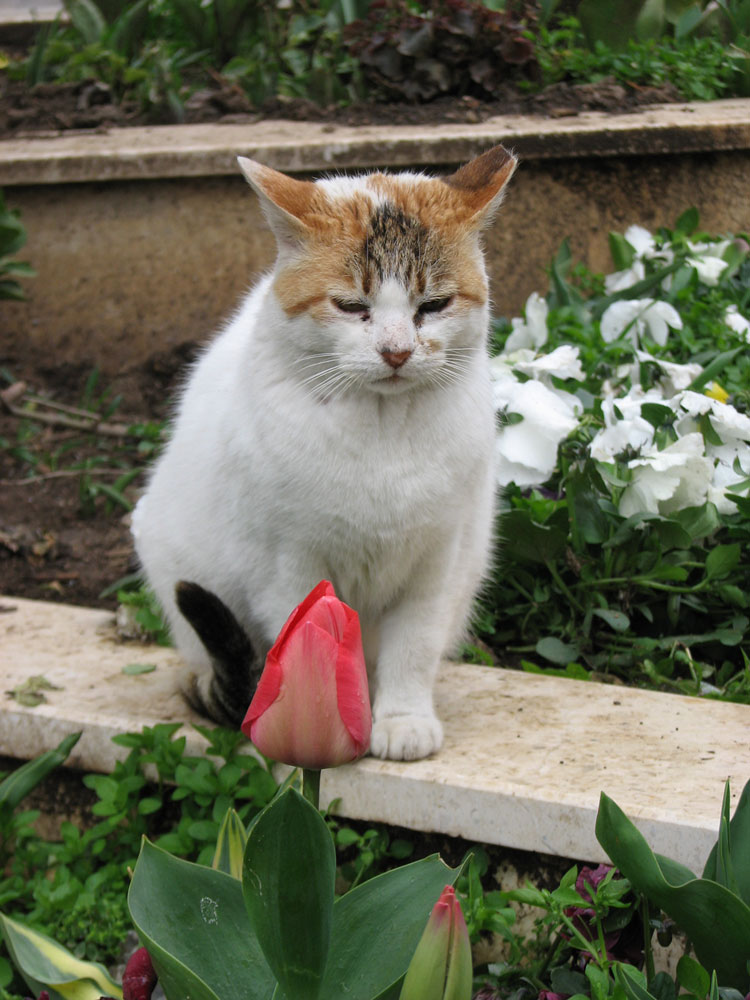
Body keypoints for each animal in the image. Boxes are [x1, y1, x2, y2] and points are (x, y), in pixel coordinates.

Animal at [132, 145, 516, 760]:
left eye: (434, 304)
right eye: (351, 305)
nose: (396, 351)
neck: (383, 434)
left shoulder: (439, 562)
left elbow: (413, 647)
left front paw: (402, 719)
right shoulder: (290, 567)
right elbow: (307, 647)